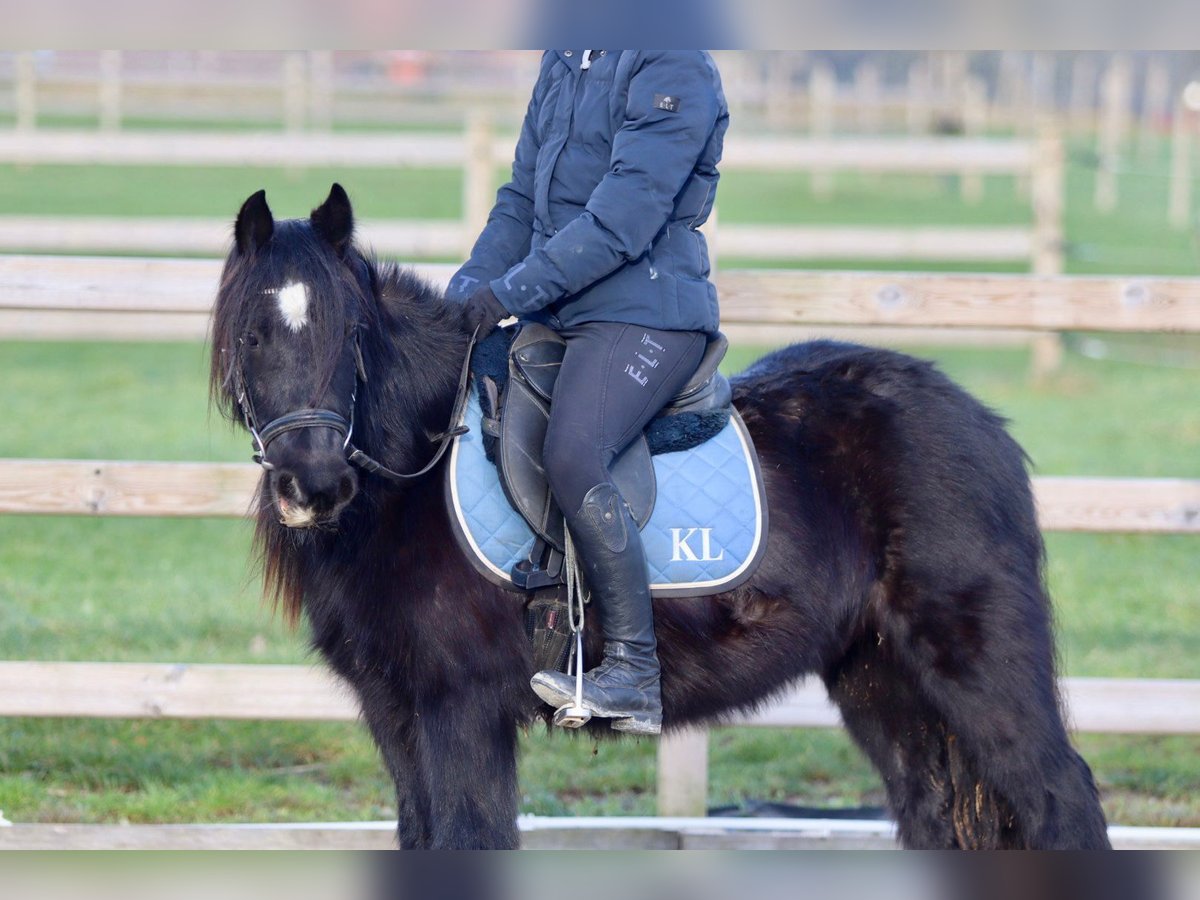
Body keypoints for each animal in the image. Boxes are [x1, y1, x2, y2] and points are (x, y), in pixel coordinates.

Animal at [211, 187, 1108, 849]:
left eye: (352, 331)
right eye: (252, 335)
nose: (314, 484)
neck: (412, 476)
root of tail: (979, 421)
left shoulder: (458, 711)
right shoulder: (396, 713)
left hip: (977, 668)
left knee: (1060, 796)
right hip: (880, 681)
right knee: (932, 813)